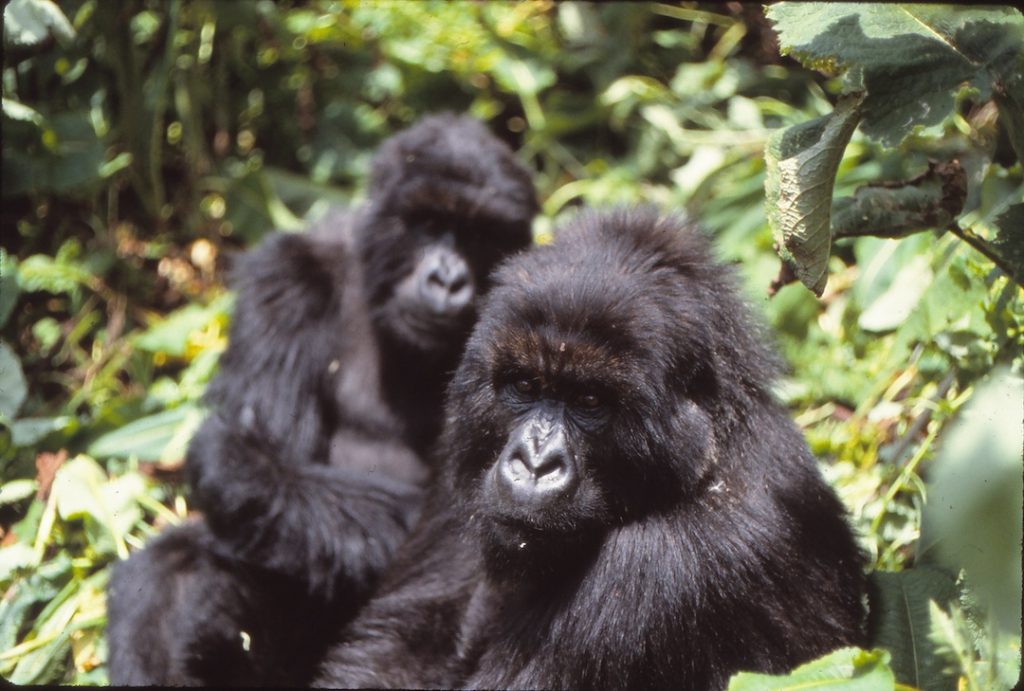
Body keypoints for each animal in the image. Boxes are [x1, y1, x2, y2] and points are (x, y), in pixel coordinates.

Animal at [104, 114, 540, 687]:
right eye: (427, 223)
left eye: (480, 235)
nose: (447, 280)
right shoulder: (286, 277)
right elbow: (262, 460)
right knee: (175, 567)